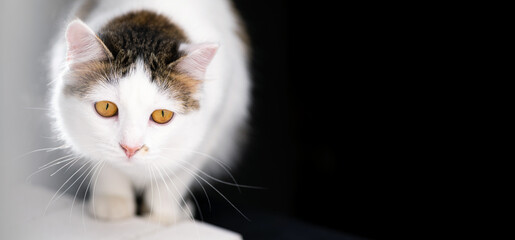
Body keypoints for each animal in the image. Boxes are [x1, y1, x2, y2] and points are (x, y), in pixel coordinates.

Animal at [48, 0, 250, 225]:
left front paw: (162, 216)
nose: (130, 148)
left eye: (162, 115)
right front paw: (114, 204)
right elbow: (107, 167)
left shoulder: (211, 130)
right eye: (106, 108)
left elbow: (173, 180)